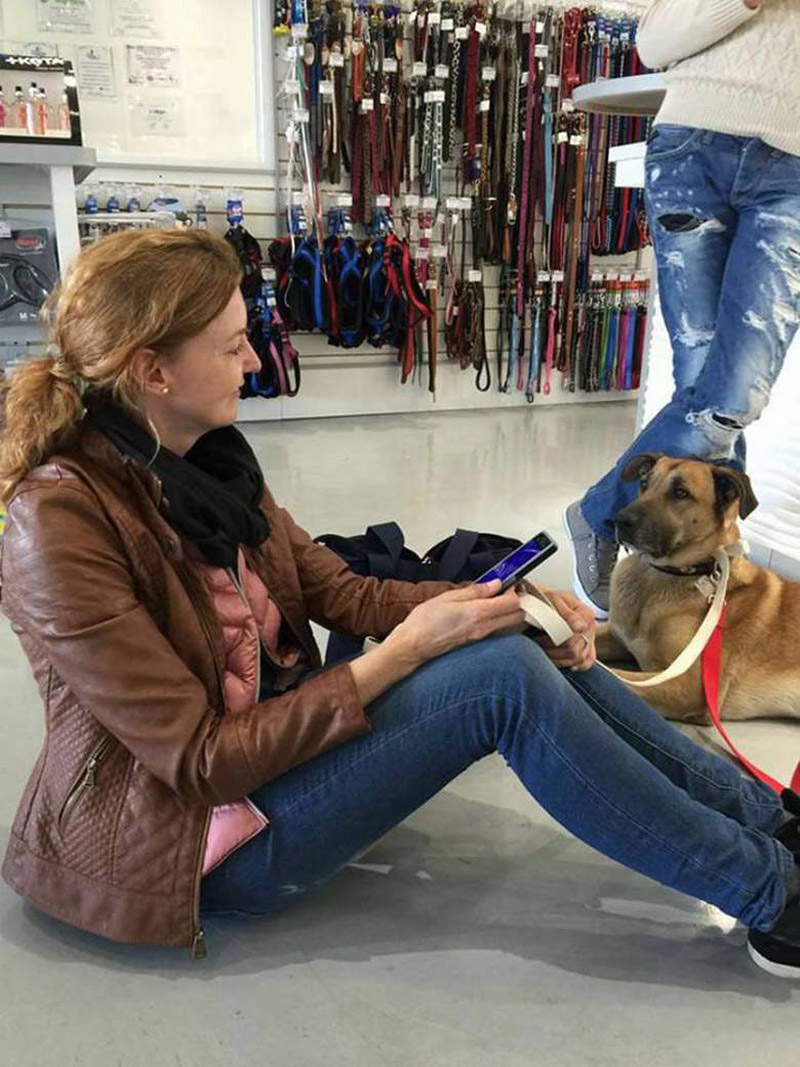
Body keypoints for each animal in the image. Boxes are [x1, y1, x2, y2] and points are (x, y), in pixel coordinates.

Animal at [597, 452, 800, 725]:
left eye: (680, 493)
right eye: (644, 483)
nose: (618, 521)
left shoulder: (687, 687)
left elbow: (608, 673)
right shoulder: (616, 635)